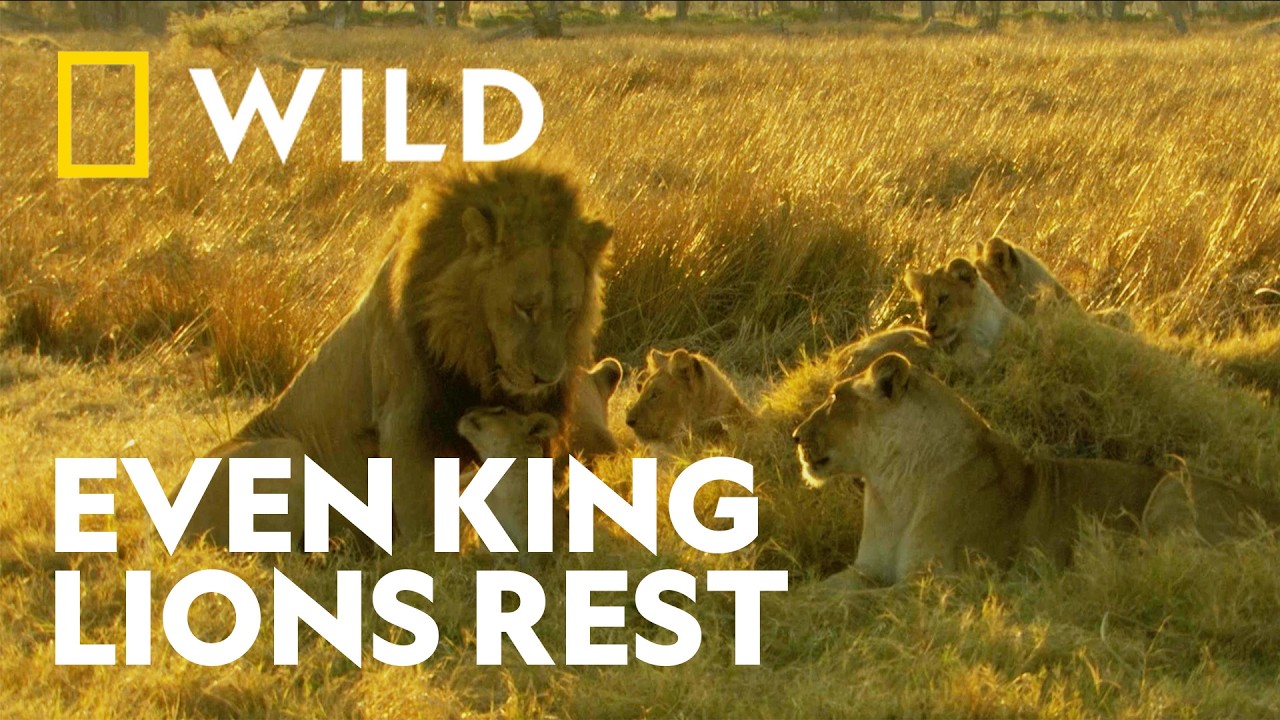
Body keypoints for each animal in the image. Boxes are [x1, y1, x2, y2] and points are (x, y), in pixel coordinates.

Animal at [791, 352, 1163, 588]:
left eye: (834, 397)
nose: (795, 435)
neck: (893, 484)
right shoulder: (866, 570)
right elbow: (820, 592)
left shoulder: (937, 583)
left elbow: (862, 604)